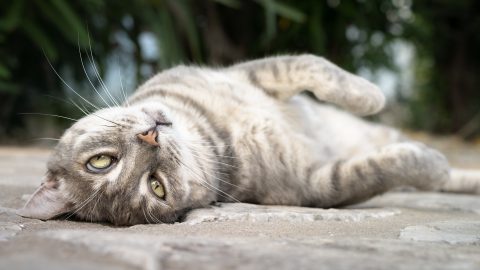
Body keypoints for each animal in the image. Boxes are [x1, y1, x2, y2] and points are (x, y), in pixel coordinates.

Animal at [16, 53, 480, 225]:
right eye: (156, 187)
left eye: (100, 161)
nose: (151, 136)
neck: (215, 133)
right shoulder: (314, 185)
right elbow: (382, 168)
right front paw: (428, 160)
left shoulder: (256, 72)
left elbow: (315, 66)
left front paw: (370, 94)